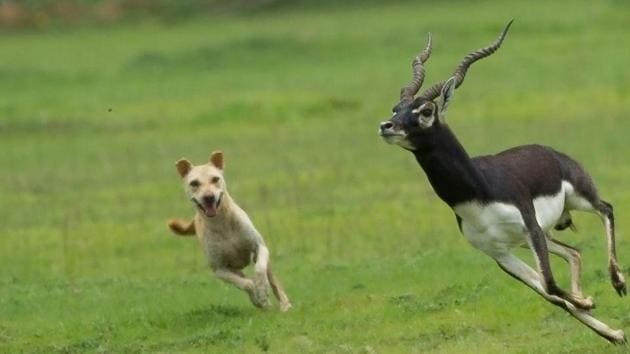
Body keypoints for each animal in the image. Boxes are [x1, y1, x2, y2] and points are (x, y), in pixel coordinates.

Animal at [169, 151, 296, 312]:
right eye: (194, 183)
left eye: (215, 179)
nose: (209, 197)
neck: (222, 223)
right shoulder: (220, 269)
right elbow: (246, 284)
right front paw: (259, 297)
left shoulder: (260, 247)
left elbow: (259, 269)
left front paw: (262, 290)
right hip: (233, 269)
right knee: (245, 279)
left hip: (268, 267)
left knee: (273, 281)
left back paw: (284, 304)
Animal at [378, 20, 628, 344]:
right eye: (397, 108)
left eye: (426, 111)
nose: (386, 126)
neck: (477, 194)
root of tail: (547, 150)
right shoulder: (498, 251)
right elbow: (551, 294)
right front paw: (607, 325)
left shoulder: (530, 226)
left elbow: (549, 282)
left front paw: (589, 301)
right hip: (535, 238)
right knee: (574, 252)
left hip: (577, 198)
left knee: (606, 209)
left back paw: (618, 282)